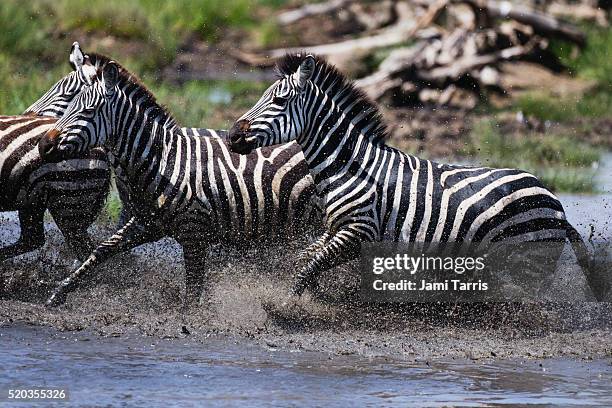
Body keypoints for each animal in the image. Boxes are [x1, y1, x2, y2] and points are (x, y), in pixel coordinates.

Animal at [35, 53, 322, 306]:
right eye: (70, 105)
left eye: (87, 110)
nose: (43, 145)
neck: (163, 159)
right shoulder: (145, 222)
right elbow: (101, 250)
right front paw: (58, 293)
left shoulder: (194, 232)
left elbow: (193, 289)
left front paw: (189, 320)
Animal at [227, 53, 604, 300]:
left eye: (278, 101)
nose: (231, 135)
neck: (349, 167)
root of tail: (557, 204)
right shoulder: (335, 229)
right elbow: (305, 259)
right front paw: (303, 297)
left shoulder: (359, 232)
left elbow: (310, 265)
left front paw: (281, 307)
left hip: (529, 263)